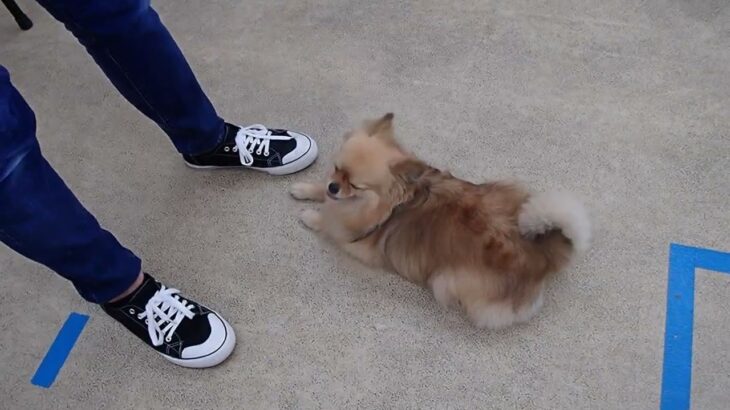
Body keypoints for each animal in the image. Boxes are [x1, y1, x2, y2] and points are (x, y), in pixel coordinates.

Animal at [288, 113, 588, 328]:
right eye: (337, 169)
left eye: (356, 185)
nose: (334, 186)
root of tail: (541, 254)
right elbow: (320, 194)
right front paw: (304, 189)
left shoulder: (357, 242)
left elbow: (329, 226)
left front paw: (310, 216)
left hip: (445, 279)